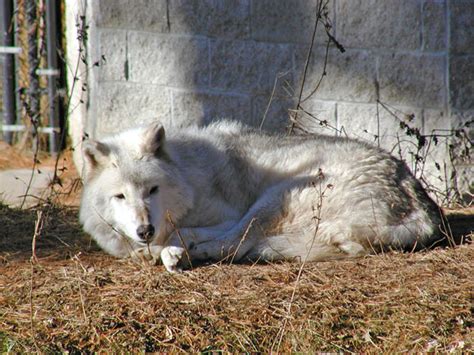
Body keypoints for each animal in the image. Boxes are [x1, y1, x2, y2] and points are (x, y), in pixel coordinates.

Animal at [78, 120, 444, 272]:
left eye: (152, 190)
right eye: (120, 196)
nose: (145, 230)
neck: (188, 173)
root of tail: (421, 207)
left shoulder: (226, 215)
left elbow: (197, 234)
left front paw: (171, 249)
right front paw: (157, 249)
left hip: (275, 196)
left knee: (234, 245)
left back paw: (181, 253)